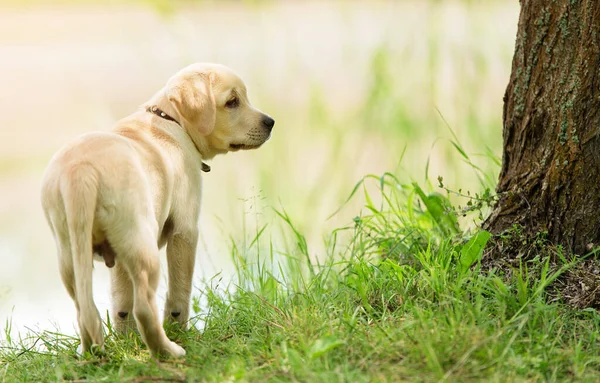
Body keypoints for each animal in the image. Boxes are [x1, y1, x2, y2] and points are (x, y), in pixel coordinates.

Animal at [41, 61, 276, 358]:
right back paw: (168, 351)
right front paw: (179, 328)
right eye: (232, 102)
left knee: (86, 310)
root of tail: (80, 170)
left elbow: (121, 302)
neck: (170, 120)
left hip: (71, 253)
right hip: (143, 246)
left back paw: (91, 353)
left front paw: (126, 339)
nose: (271, 122)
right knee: (144, 307)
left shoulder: (117, 257)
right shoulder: (185, 231)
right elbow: (179, 291)